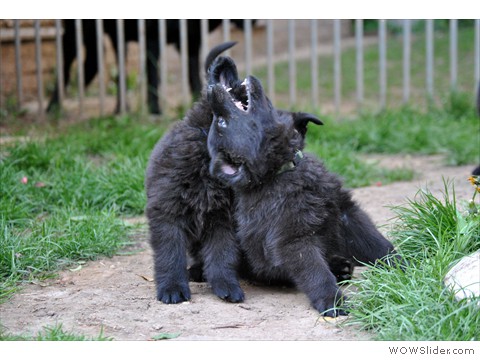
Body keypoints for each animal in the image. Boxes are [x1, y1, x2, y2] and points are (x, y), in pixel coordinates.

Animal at [145, 43, 318, 306]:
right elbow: (170, 254)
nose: (242, 79)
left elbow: (222, 255)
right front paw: (172, 288)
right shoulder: (168, 210)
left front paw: (225, 285)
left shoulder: (223, 219)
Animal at [206, 57, 398, 318]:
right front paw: (331, 300)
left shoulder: (346, 212)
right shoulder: (293, 237)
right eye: (221, 123)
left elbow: (379, 245)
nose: (212, 90)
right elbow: (315, 271)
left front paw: (404, 265)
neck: (284, 169)